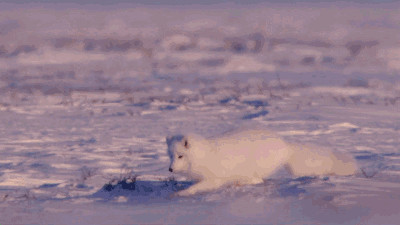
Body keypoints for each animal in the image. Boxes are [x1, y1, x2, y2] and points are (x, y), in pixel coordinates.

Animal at [166, 129, 356, 196]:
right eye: (170, 155)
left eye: (180, 156)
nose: (170, 169)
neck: (203, 156)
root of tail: (286, 146)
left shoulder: (213, 179)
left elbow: (196, 188)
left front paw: (181, 194)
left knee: (257, 180)